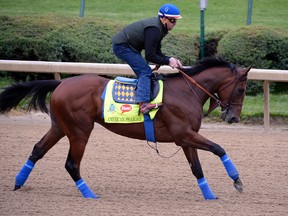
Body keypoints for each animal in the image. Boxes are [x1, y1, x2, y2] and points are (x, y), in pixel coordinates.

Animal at [0, 56, 250, 200]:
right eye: (241, 90)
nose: (234, 118)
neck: (187, 92)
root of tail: (61, 82)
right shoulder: (184, 135)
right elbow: (219, 148)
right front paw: (237, 181)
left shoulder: (187, 138)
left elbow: (197, 168)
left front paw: (210, 196)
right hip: (79, 131)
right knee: (71, 164)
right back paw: (89, 194)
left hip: (60, 127)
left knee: (37, 150)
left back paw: (18, 183)